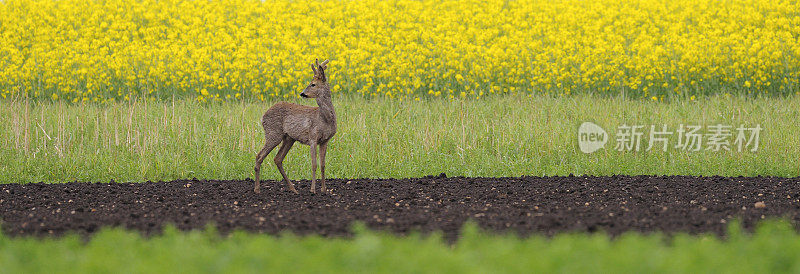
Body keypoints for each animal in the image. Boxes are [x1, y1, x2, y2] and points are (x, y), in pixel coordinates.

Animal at [253, 58, 334, 194]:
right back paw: (257, 189)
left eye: (313, 84)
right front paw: (313, 189)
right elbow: (314, 164)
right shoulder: (312, 137)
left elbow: (323, 165)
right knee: (259, 156)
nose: (302, 93)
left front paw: (324, 189)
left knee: (277, 159)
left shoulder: (325, 140)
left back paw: (293, 189)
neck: (325, 119)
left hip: (289, 138)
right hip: (273, 133)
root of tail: (263, 116)